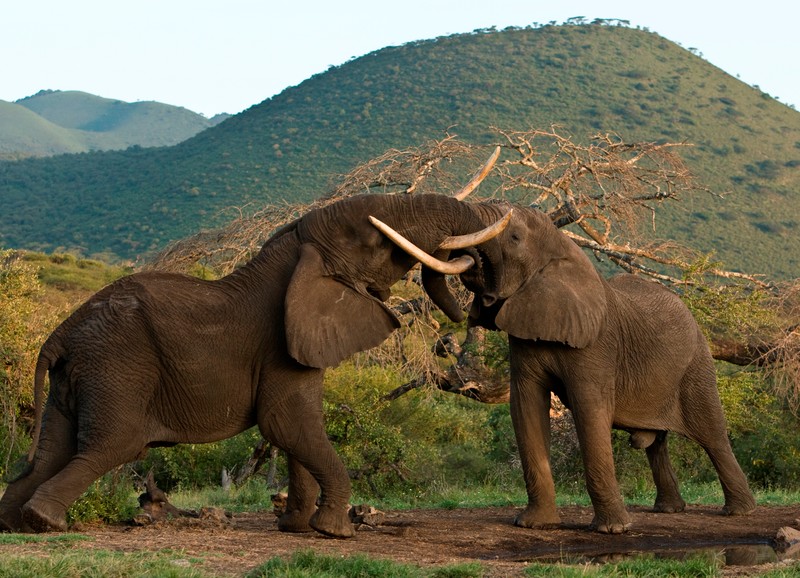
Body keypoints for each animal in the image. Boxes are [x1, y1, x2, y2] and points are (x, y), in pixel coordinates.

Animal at [0, 156, 512, 532]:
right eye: (373, 238)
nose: (471, 306)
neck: (295, 251)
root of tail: (58, 335)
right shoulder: (277, 344)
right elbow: (287, 423)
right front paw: (333, 530)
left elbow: (294, 430)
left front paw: (295, 526)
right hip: (117, 365)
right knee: (112, 445)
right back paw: (47, 523)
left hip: (78, 373)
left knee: (51, 449)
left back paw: (17, 523)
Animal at [376, 200, 756, 532]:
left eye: (515, 238)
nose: (444, 336)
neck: (563, 251)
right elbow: (525, 407)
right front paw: (534, 525)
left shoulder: (597, 345)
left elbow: (589, 411)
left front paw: (612, 530)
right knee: (657, 443)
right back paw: (669, 510)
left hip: (697, 364)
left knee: (713, 435)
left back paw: (739, 512)